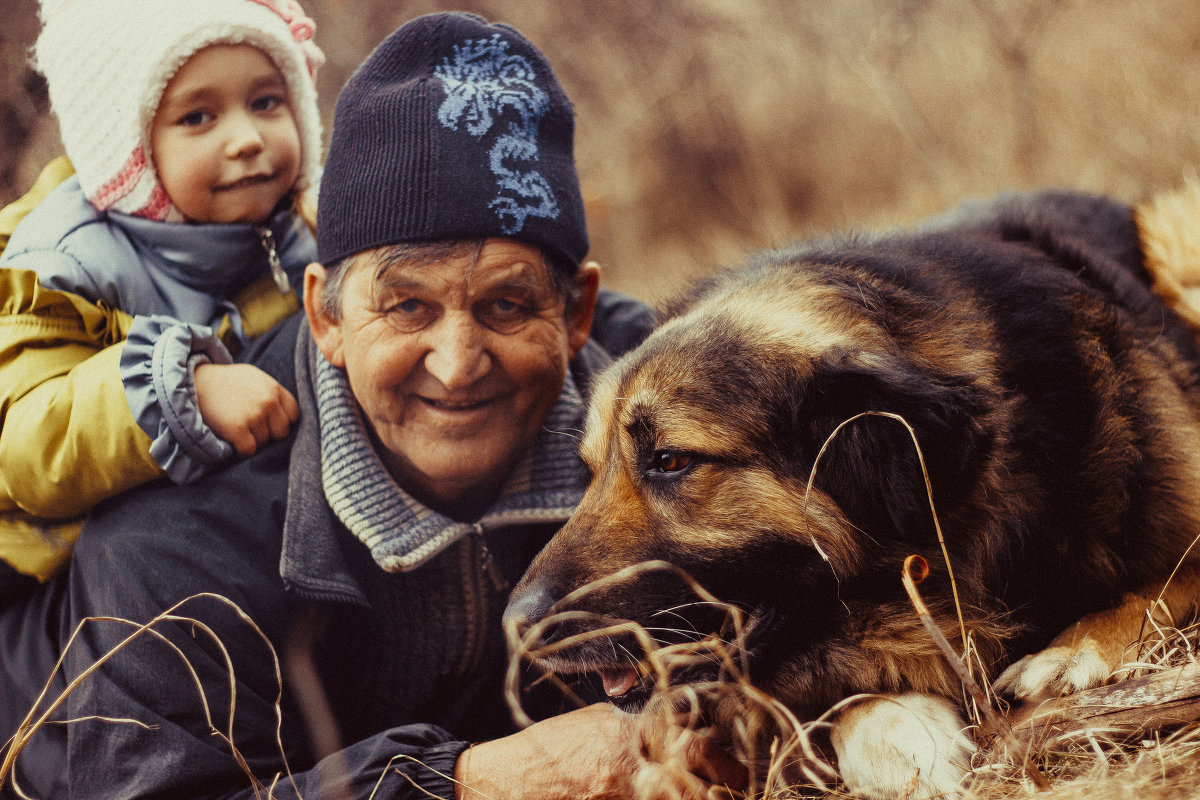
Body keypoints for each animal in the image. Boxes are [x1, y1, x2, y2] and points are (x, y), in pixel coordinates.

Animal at [501, 190, 1200, 796]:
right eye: (592, 469)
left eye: (670, 461)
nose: (517, 628)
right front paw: (893, 734)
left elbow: (1156, 590)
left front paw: (1073, 652)